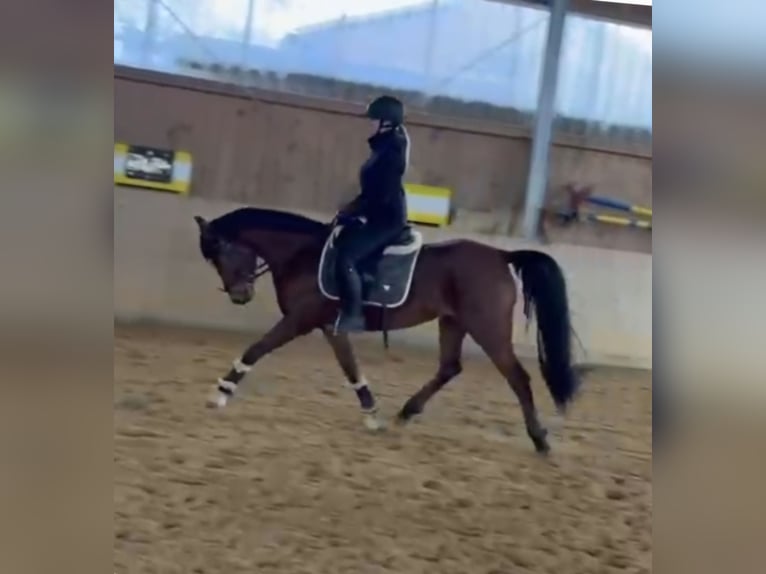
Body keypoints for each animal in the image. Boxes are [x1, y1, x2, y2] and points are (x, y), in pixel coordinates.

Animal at [195, 207, 580, 454]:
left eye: (221, 252)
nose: (239, 296)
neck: (304, 254)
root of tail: (501, 255)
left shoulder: (299, 320)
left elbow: (256, 349)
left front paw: (221, 392)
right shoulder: (329, 326)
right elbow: (351, 369)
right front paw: (372, 416)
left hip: (487, 328)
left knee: (518, 377)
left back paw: (540, 439)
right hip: (453, 323)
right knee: (449, 367)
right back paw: (406, 413)